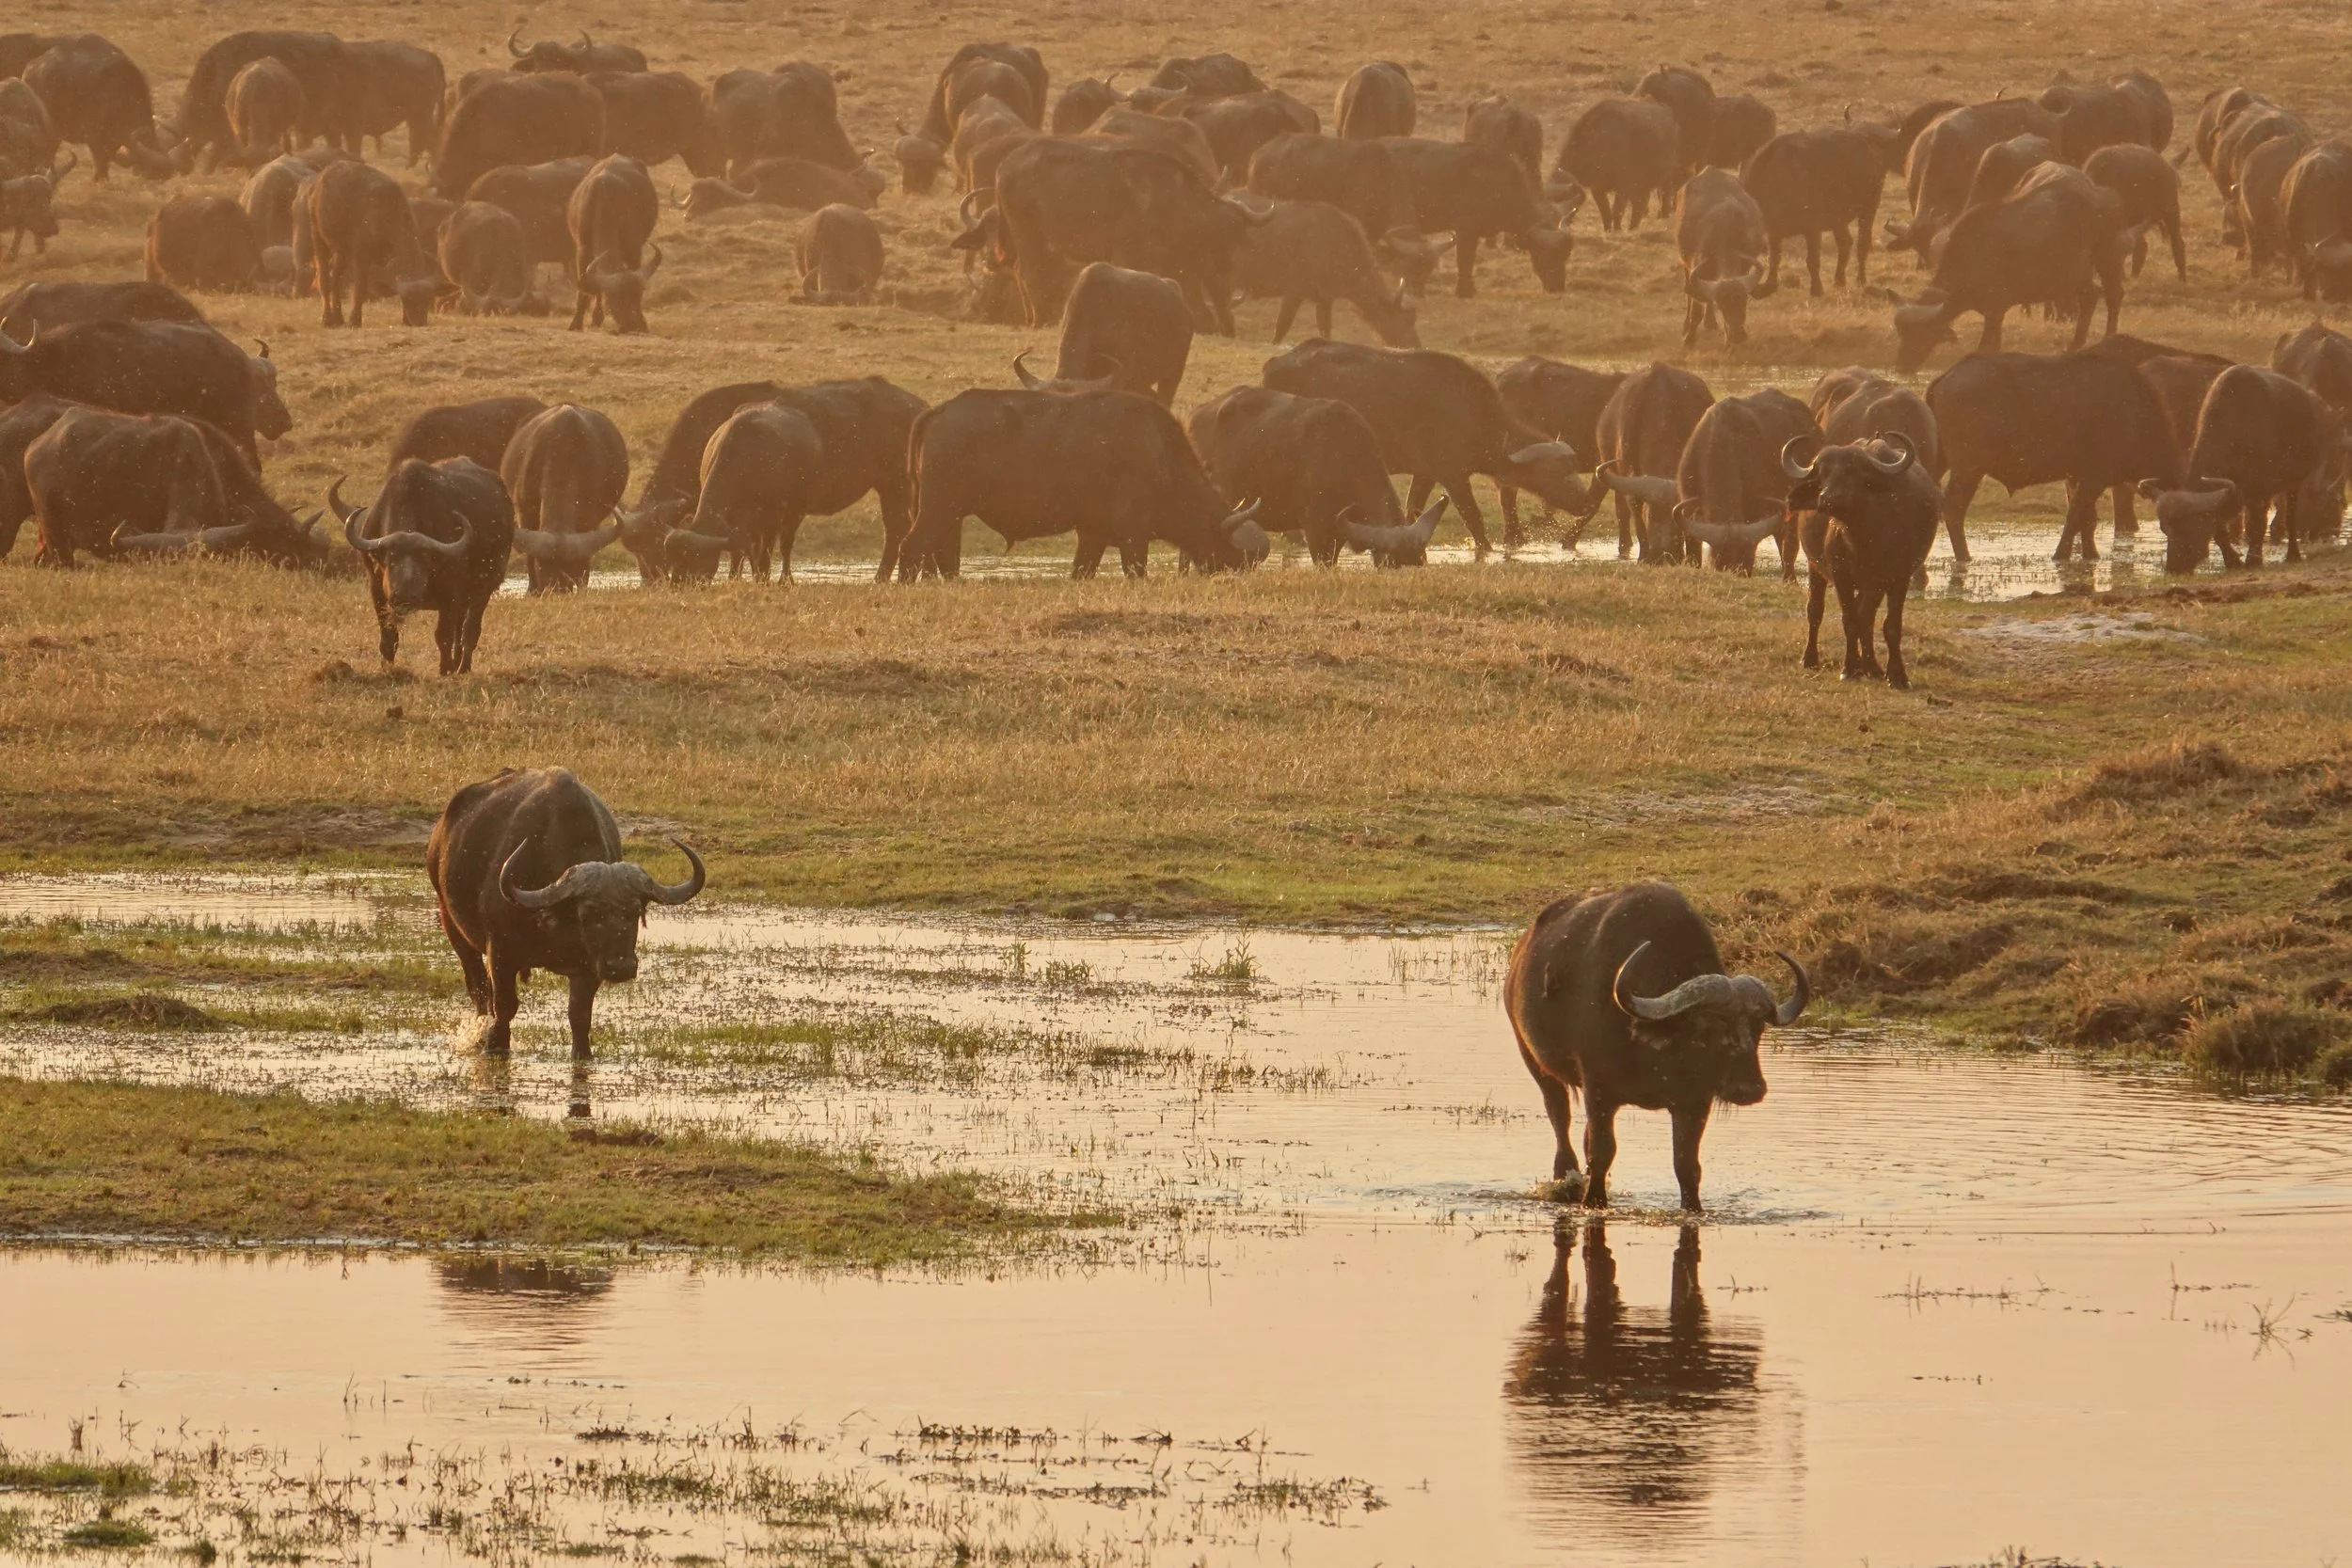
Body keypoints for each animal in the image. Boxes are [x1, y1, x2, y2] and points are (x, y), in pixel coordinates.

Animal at [428, 767, 703, 1059]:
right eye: (588, 913)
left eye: (635, 911)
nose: (620, 967)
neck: (556, 918)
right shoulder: (500, 953)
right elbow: (504, 1007)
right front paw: (494, 1046)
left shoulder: (589, 967)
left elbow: (579, 1015)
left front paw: (583, 1055)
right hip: (451, 923)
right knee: (479, 989)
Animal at [1505, 881, 1806, 1210]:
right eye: (1709, 1024)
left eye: (1758, 1027)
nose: (1750, 1089)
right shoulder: (1598, 1092)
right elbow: (1602, 1153)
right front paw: (1593, 1200)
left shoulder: (1694, 1102)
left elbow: (1687, 1166)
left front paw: (1693, 1208)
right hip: (1532, 1057)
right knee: (1559, 1116)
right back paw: (1564, 1177)